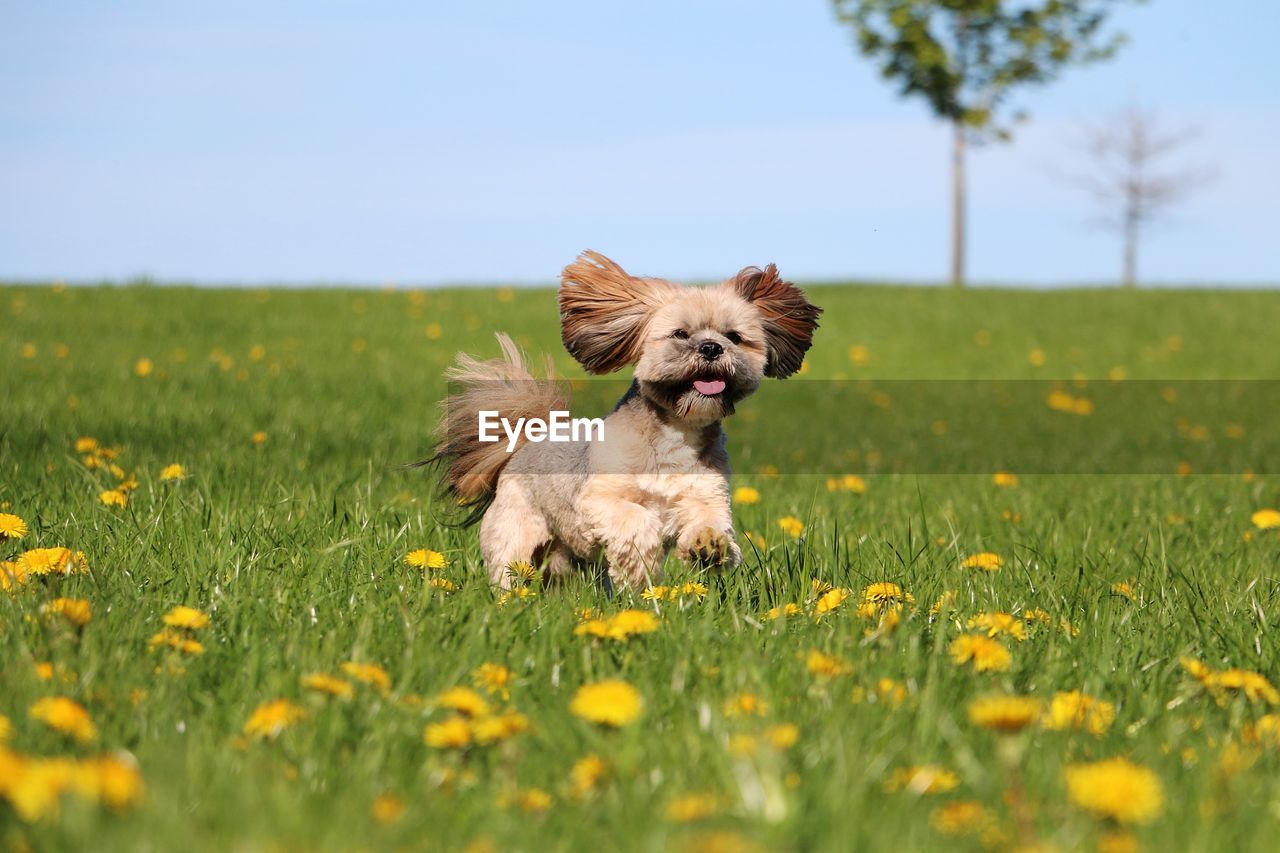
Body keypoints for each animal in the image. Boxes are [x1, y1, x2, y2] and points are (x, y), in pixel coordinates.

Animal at [432, 249, 819, 589]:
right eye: (680, 334)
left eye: (734, 337)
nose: (711, 347)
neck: (674, 436)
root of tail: (529, 438)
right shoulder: (599, 500)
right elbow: (635, 521)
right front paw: (640, 567)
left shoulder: (705, 494)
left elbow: (708, 521)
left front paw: (709, 546)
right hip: (516, 535)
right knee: (509, 569)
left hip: (568, 558)